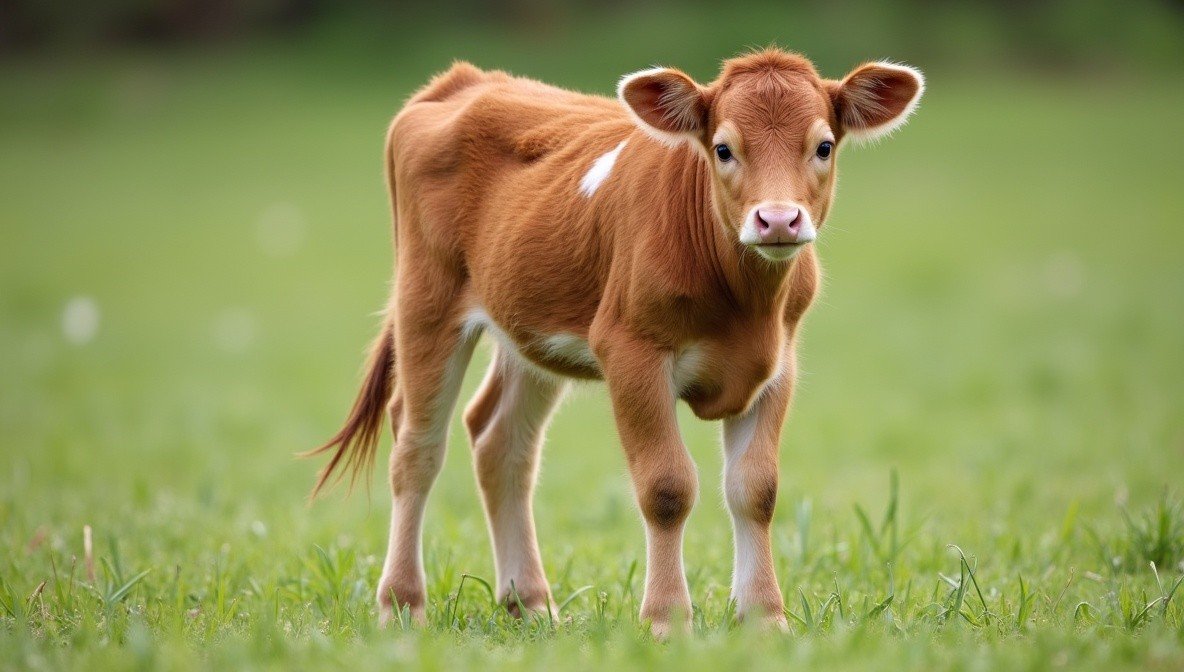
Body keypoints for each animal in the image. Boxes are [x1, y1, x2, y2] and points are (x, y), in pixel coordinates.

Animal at [306, 48, 924, 636]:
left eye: (823, 146)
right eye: (723, 149)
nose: (777, 220)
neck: (743, 304)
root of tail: (468, 79)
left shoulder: (778, 363)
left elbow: (756, 489)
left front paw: (764, 619)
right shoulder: (630, 351)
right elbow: (667, 487)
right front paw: (667, 619)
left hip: (530, 325)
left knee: (501, 441)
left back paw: (530, 604)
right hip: (426, 300)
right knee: (417, 449)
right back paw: (402, 605)